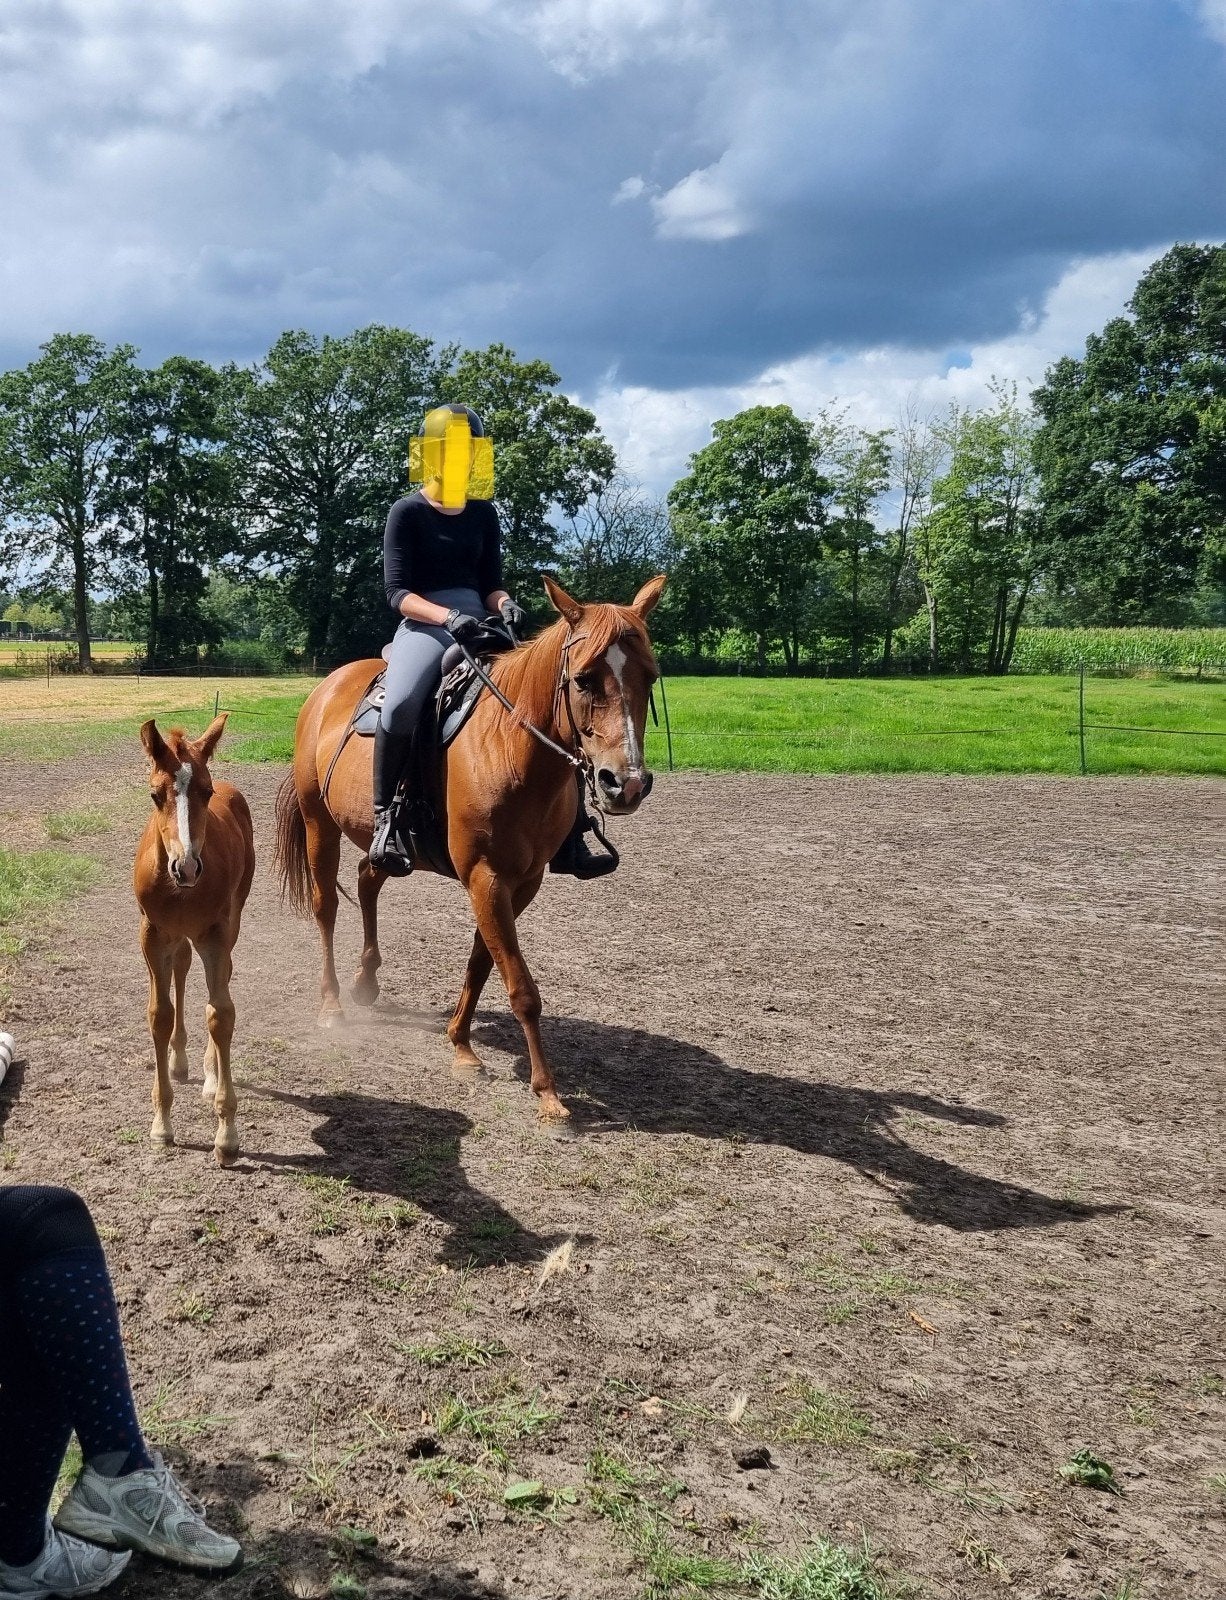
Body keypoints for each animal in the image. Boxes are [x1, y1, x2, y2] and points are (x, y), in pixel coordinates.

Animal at [134, 714, 255, 1165]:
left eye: (206, 791)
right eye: (155, 795)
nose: (186, 867)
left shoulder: (216, 936)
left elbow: (220, 1014)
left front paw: (226, 1134)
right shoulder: (152, 935)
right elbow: (160, 1014)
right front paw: (162, 1125)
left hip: (231, 922)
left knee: (215, 984)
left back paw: (207, 1072)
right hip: (177, 939)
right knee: (183, 969)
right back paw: (179, 1060)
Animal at [273, 573, 665, 1123]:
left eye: (649, 677)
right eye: (585, 679)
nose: (625, 784)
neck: (509, 749)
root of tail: (327, 688)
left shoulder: (520, 882)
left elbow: (483, 963)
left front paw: (460, 1043)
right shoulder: (485, 876)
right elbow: (521, 986)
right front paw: (547, 1093)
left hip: (387, 848)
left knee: (368, 879)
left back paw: (367, 980)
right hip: (318, 824)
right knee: (325, 906)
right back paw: (331, 1004)